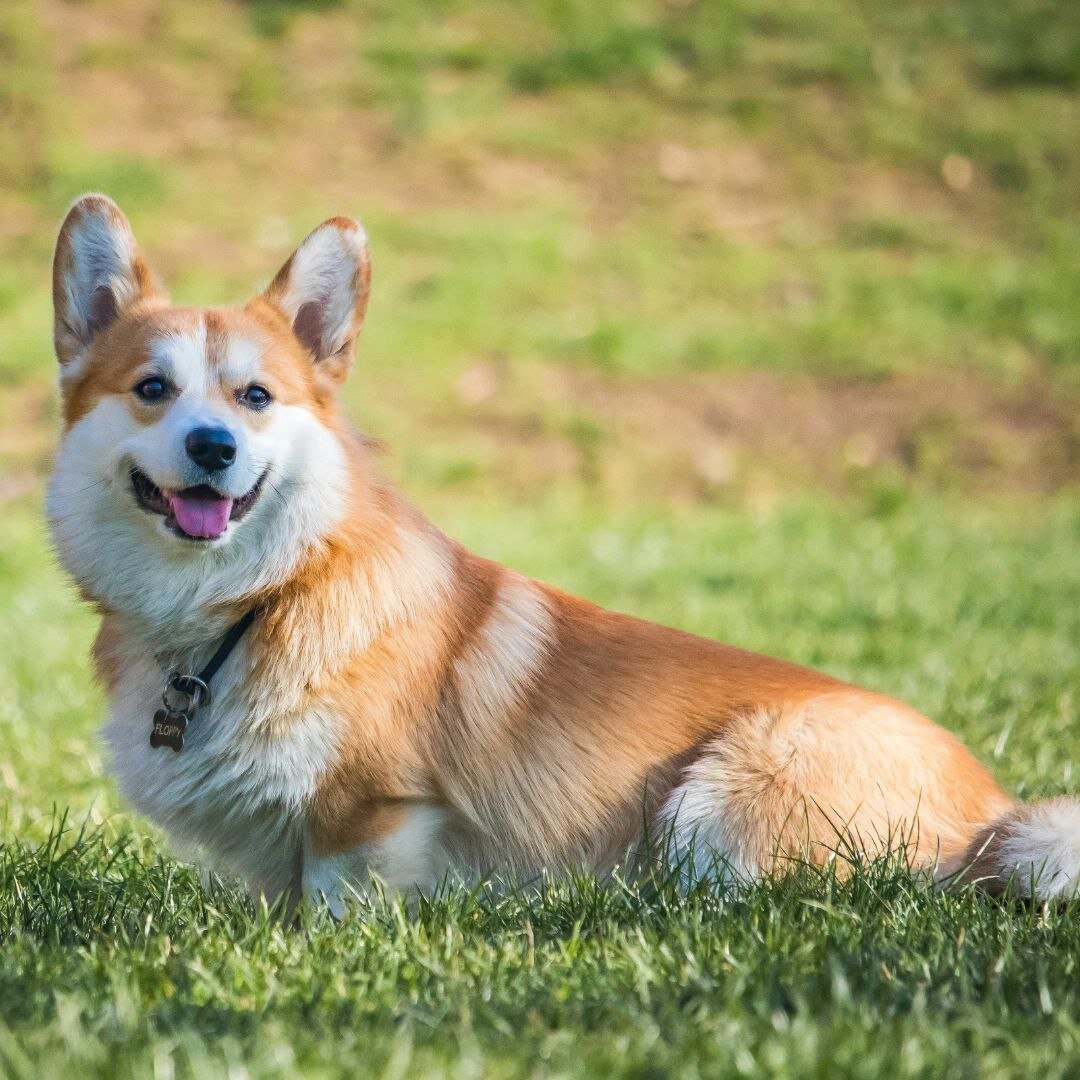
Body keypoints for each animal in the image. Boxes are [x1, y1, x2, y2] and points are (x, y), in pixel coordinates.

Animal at [46, 196, 1080, 911]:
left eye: (255, 398)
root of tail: (993, 817)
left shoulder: (371, 812)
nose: (213, 448)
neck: (256, 599)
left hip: (720, 807)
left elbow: (345, 902)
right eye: (152, 389)